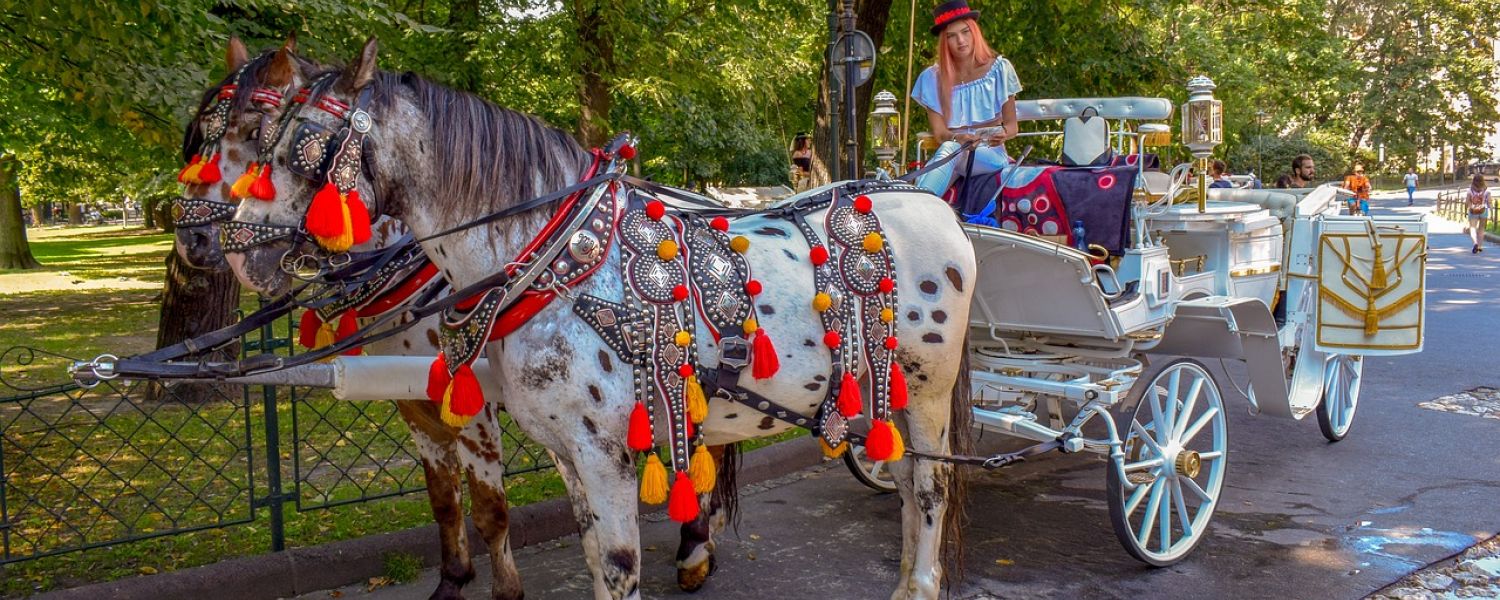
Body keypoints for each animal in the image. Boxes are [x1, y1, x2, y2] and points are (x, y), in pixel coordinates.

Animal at [222, 38, 972, 600]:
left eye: (297, 145)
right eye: (256, 136)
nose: (239, 252)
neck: (555, 261)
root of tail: (924, 198)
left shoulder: (603, 450)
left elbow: (616, 564)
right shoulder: (563, 452)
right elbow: (588, 555)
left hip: (926, 391)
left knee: (929, 487)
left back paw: (919, 583)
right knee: (906, 486)